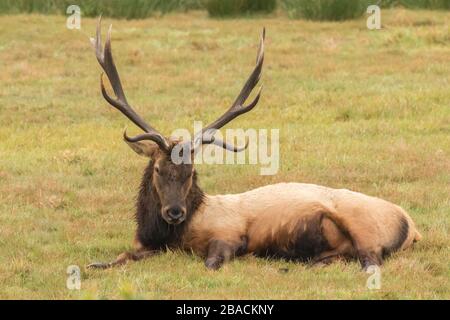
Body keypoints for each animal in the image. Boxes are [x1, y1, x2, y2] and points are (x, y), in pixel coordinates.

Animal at [88, 19, 422, 270]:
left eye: (191, 172)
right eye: (158, 168)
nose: (174, 212)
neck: (174, 234)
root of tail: (412, 227)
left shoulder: (229, 233)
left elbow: (211, 263)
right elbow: (116, 258)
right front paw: (98, 264)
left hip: (365, 228)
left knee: (371, 260)